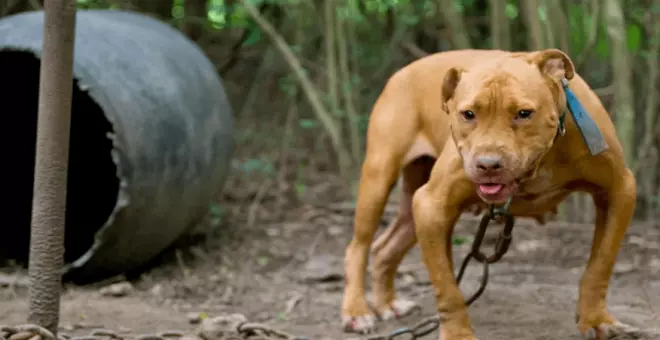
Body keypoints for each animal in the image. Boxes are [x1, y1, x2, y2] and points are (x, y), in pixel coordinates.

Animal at [340, 48, 636, 340]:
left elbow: (600, 265)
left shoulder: (619, 190)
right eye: (468, 114)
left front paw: (597, 320)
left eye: (524, 113)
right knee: (358, 247)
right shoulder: (432, 206)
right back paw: (357, 312)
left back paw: (387, 304)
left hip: (413, 210)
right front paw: (457, 334)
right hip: (379, 179)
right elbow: (448, 289)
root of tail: (402, 72)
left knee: (384, 248)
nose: (488, 164)